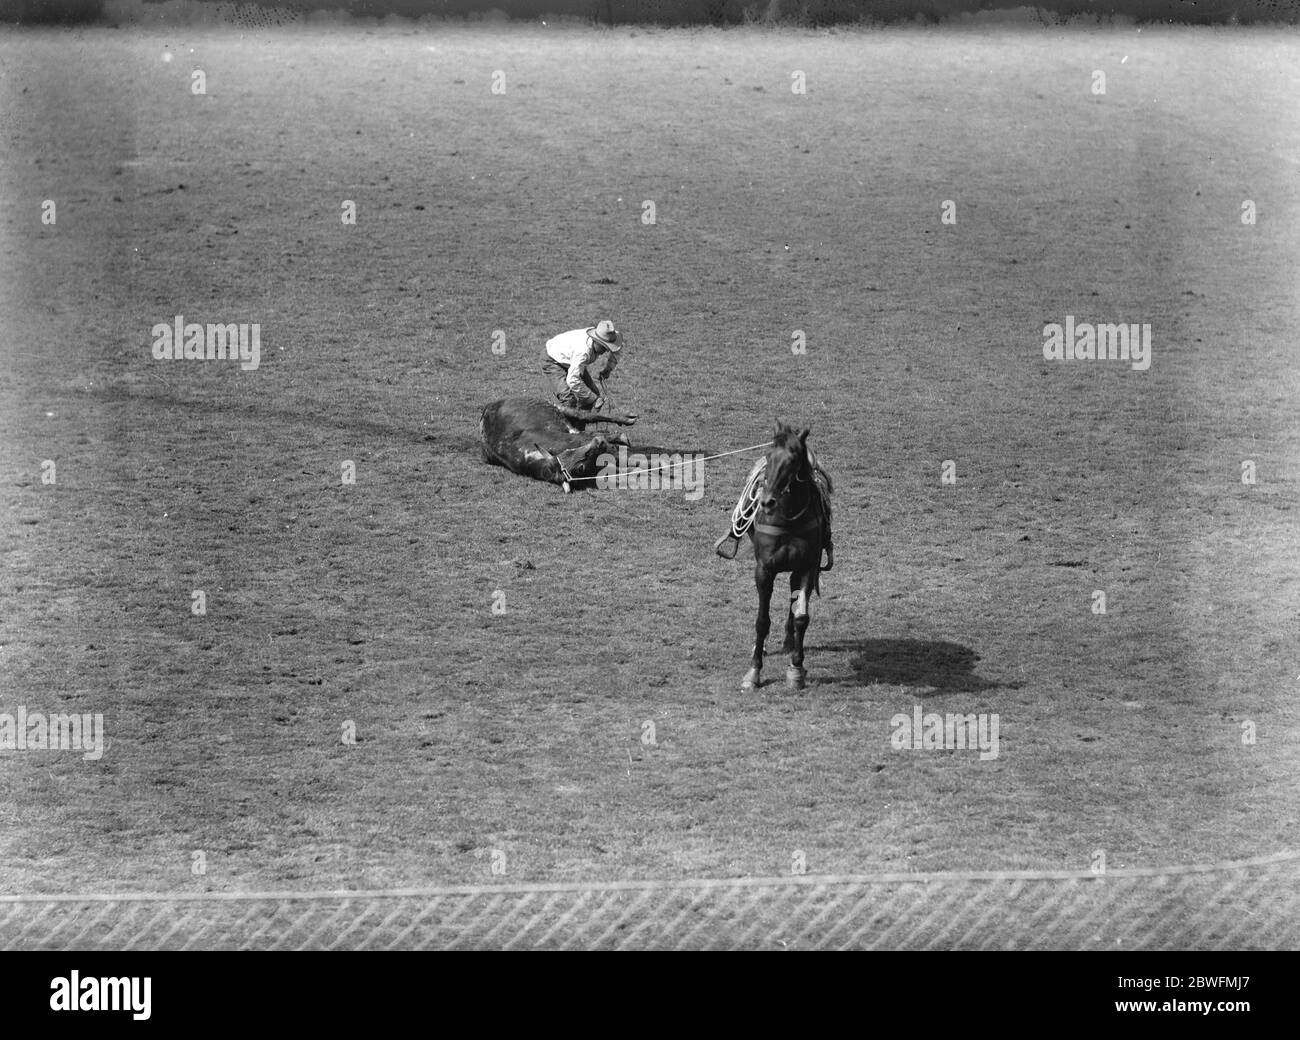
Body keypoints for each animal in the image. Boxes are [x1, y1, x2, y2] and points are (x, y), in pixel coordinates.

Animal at [743, 421, 832, 691]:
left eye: (793, 461)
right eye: (769, 455)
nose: (766, 502)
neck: (788, 518)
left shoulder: (807, 567)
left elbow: (802, 616)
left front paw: (796, 669)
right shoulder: (764, 570)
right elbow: (762, 620)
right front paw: (754, 671)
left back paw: (789, 640)